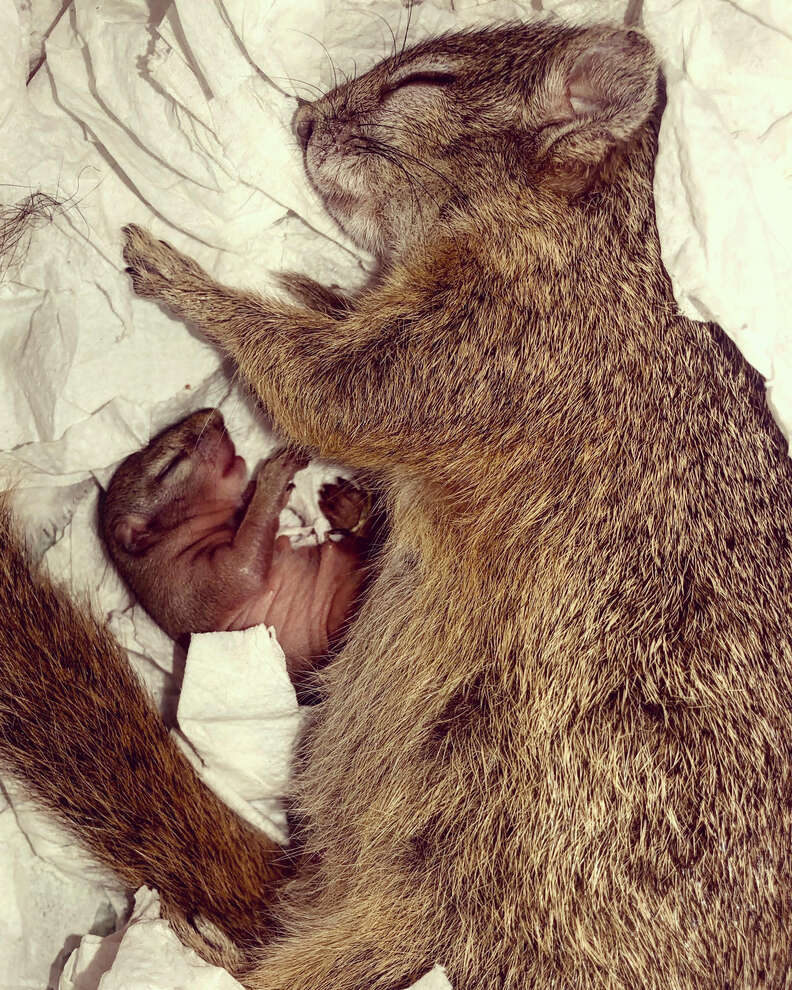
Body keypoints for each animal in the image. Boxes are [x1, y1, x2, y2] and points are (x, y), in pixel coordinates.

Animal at [99, 406, 373, 689]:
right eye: (169, 467)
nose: (213, 414)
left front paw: (256, 490)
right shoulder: (188, 590)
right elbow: (246, 568)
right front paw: (273, 476)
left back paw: (346, 508)